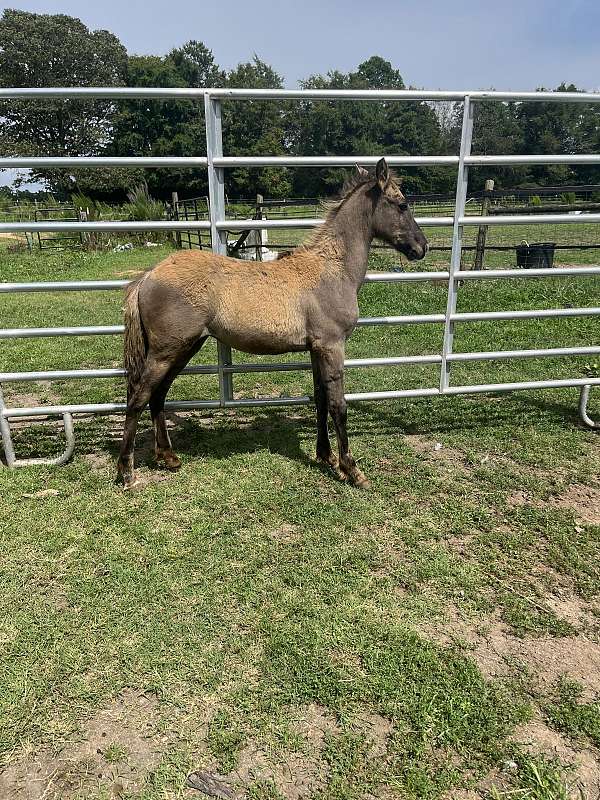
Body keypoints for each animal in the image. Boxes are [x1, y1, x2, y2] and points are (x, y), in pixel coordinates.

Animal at [116, 158, 426, 488]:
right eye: (403, 204)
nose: (423, 247)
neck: (331, 269)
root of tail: (148, 276)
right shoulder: (332, 346)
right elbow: (338, 405)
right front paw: (351, 469)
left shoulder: (315, 349)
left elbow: (320, 399)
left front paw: (325, 455)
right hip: (167, 351)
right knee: (138, 398)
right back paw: (126, 472)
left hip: (185, 347)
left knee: (158, 396)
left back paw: (169, 457)